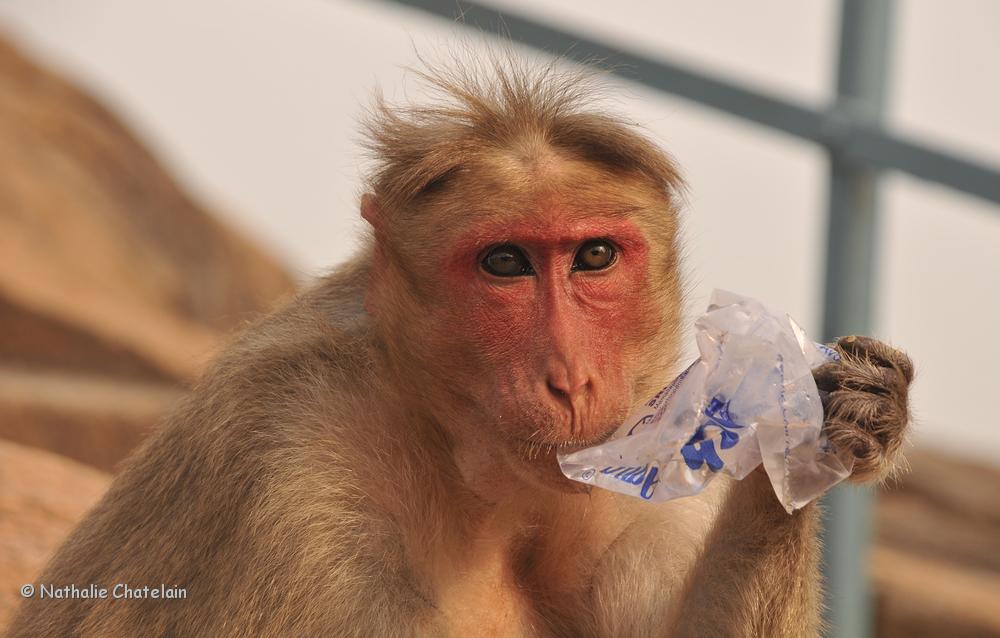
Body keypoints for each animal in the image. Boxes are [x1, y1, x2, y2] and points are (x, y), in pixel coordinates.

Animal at [7, 54, 913, 638]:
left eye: (594, 256)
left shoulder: (641, 483)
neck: (463, 456)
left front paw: (817, 421)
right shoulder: (288, 476)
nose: (571, 379)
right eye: (504, 263)